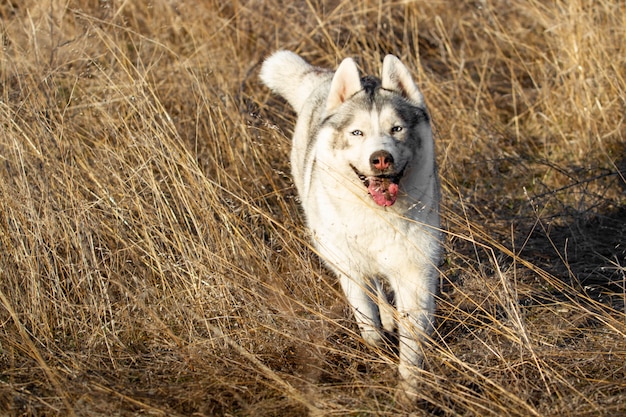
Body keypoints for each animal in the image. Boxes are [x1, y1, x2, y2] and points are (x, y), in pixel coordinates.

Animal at [260, 50, 442, 388]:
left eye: (397, 129)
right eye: (357, 133)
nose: (380, 158)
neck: (376, 214)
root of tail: (323, 78)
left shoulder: (415, 269)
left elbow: (412, 339)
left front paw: (409, 388)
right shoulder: (349, 266)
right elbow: (367, 318)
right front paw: (376, 350)